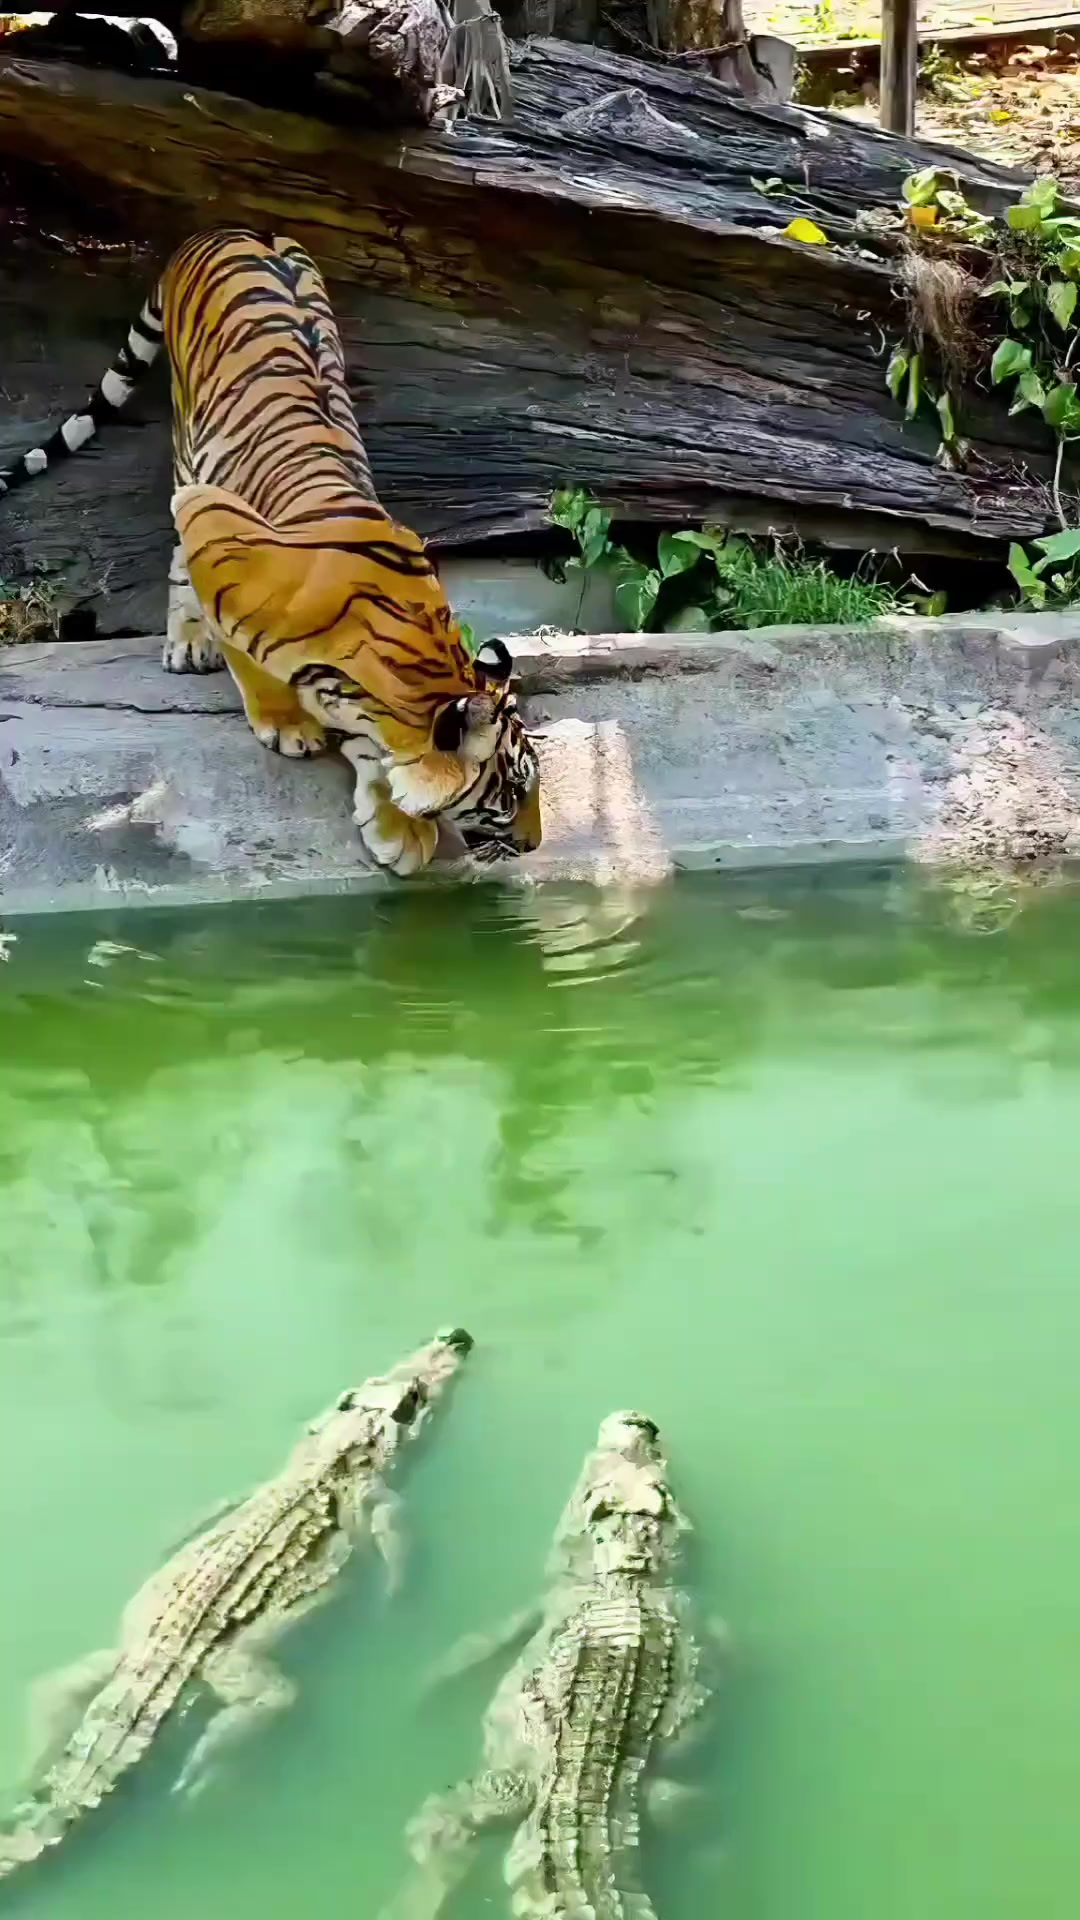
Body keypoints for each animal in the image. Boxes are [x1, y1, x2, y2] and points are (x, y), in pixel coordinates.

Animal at [0, 228, 541, 876]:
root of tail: (228, 230)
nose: (536, 844)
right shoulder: (212, 530)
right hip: (190, 452)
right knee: (178, 556)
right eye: (513, 793)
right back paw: (187, 645)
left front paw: (395, 823)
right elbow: (251, 658)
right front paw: (287, 725)